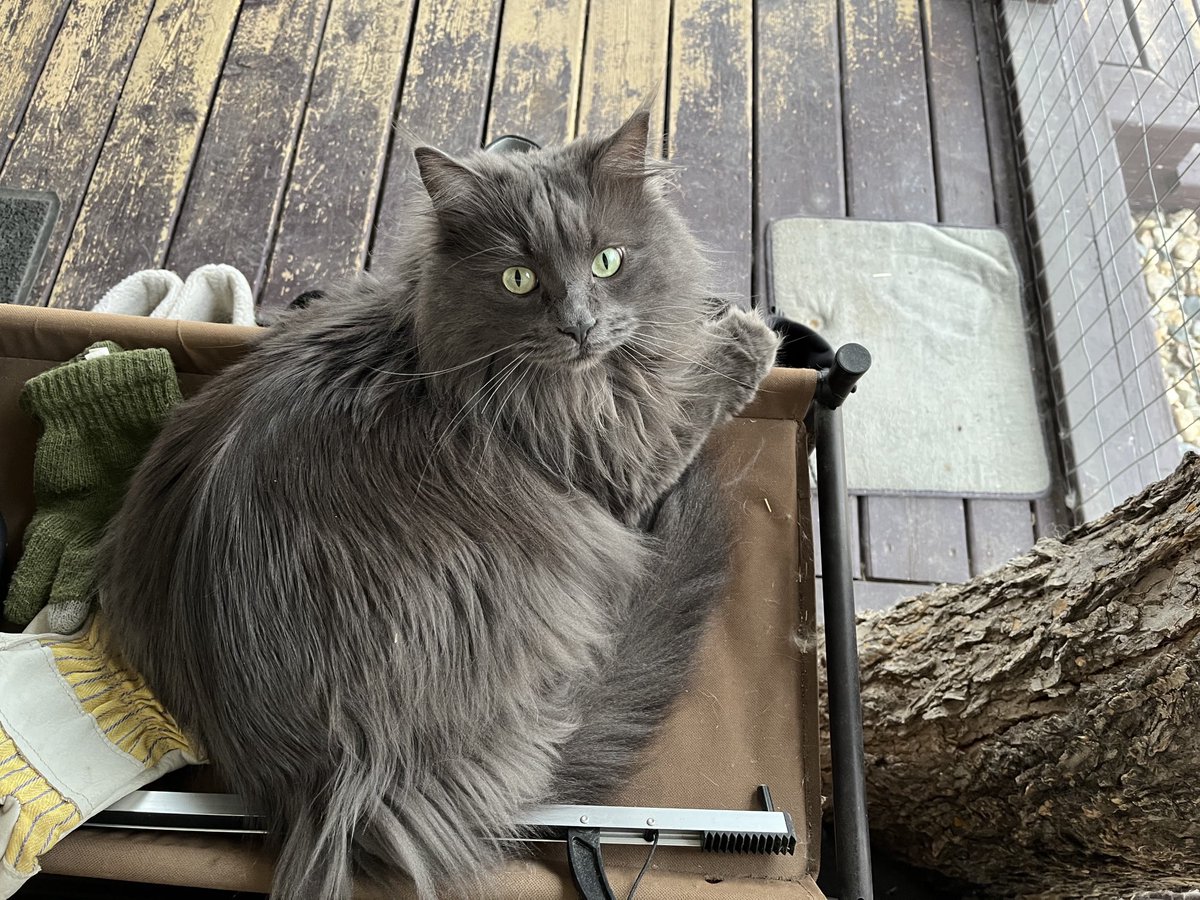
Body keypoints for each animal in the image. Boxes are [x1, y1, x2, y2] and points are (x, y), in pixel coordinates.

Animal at [100, 114, 777, 900]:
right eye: (518, 279)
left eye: (607, 261)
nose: (579, 326)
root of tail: (316, 787)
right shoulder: (623, 467)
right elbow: (694, 398)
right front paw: (750, 333)